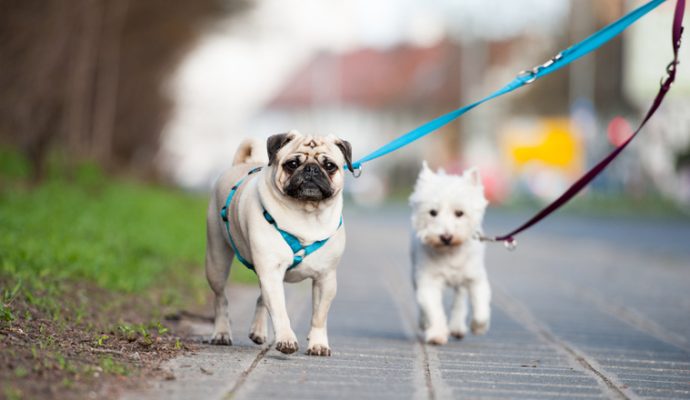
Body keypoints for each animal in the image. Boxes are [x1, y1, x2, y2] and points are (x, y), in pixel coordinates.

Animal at [206, 129, 352, 356]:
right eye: (292, 164)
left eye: (329, 166)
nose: (311, 169)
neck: (306, 214)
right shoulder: (271, 271)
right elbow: (280, 311)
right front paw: (286, 339)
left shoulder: (325, 278)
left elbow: (319, 316)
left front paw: (318, 344)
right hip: (217, 263)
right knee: (221, 298)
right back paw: (221, 333)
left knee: (260, 298)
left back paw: (258, 331)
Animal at [408, 162, 490, 344]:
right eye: (432, 212)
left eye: (460, 213)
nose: (446, 237)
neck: (450, 253)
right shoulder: (428, 280)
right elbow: (433, 309)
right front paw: (437, 334)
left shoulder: (476, 278)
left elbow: (481, 307)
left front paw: (478, 327)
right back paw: (425, 323)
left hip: (462, 281)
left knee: (460, 299)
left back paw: (457, 327)